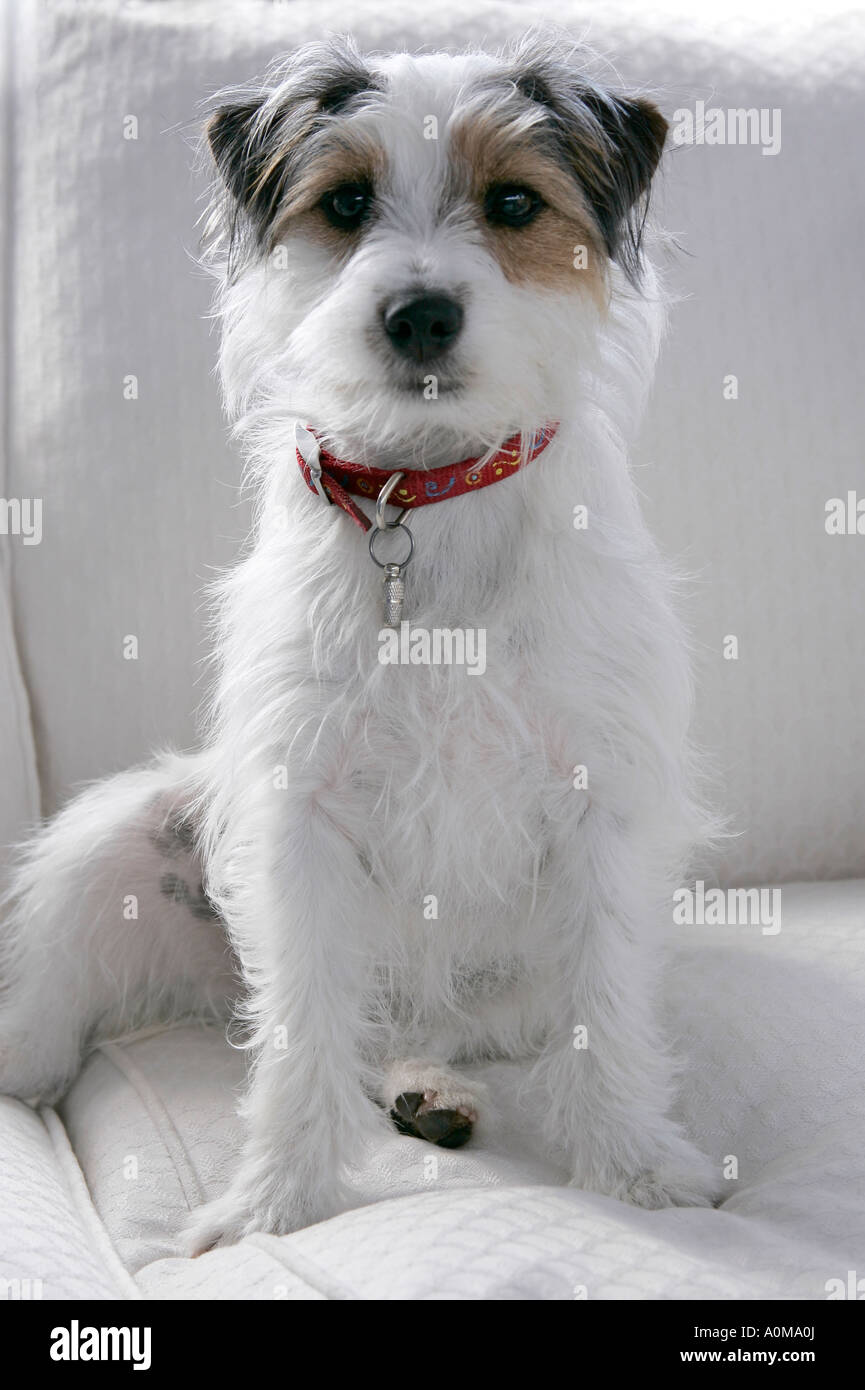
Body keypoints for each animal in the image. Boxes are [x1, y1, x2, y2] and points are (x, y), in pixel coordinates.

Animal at [0, 32, 717, 1251]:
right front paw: (274, 1203)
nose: (419, 313)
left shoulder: (602, 805)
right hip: (121, 833)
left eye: (513, 203)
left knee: (427, 1030)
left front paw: (635, 1168)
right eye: (344, 203)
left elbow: (607, 1013)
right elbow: (298, 1036)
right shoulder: (298, 812)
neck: (421, 497)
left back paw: (433, 1090)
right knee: (85, 999)